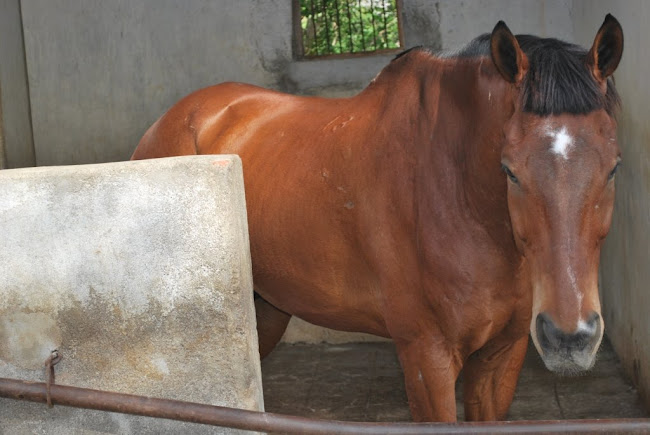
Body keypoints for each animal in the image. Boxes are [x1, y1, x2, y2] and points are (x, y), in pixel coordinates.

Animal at [130, 15, 624, 420]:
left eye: (614, 166)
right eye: (510, 170)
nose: (570, 339)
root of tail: (177, 117)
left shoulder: (502, 354)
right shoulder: (426, 357)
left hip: (265, 308)